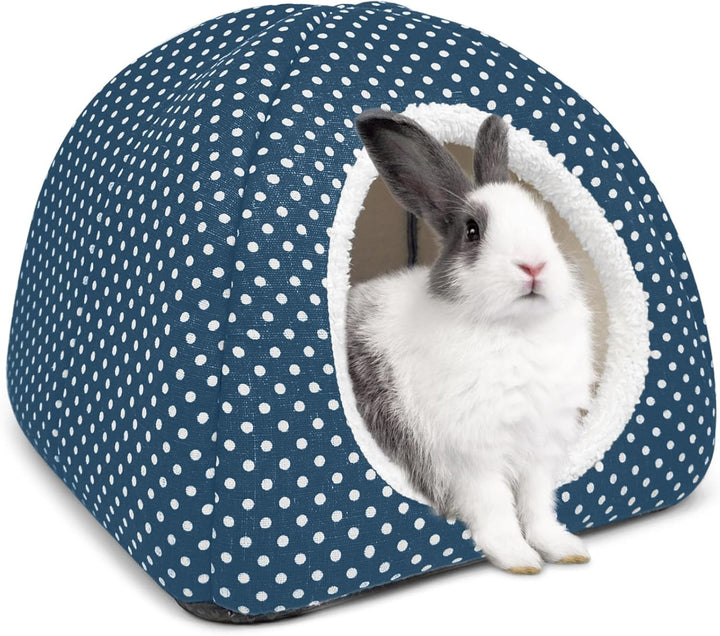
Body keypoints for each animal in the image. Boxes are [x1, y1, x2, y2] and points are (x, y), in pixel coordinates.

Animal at [346, 109, 595, 574]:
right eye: (473, 231)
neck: (515, 329)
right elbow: (495, 508)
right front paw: (519, 559)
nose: (533, 265)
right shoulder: (472, 457)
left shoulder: (539, 451)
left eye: (546, 224)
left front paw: (565, 549)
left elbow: (538, 507)